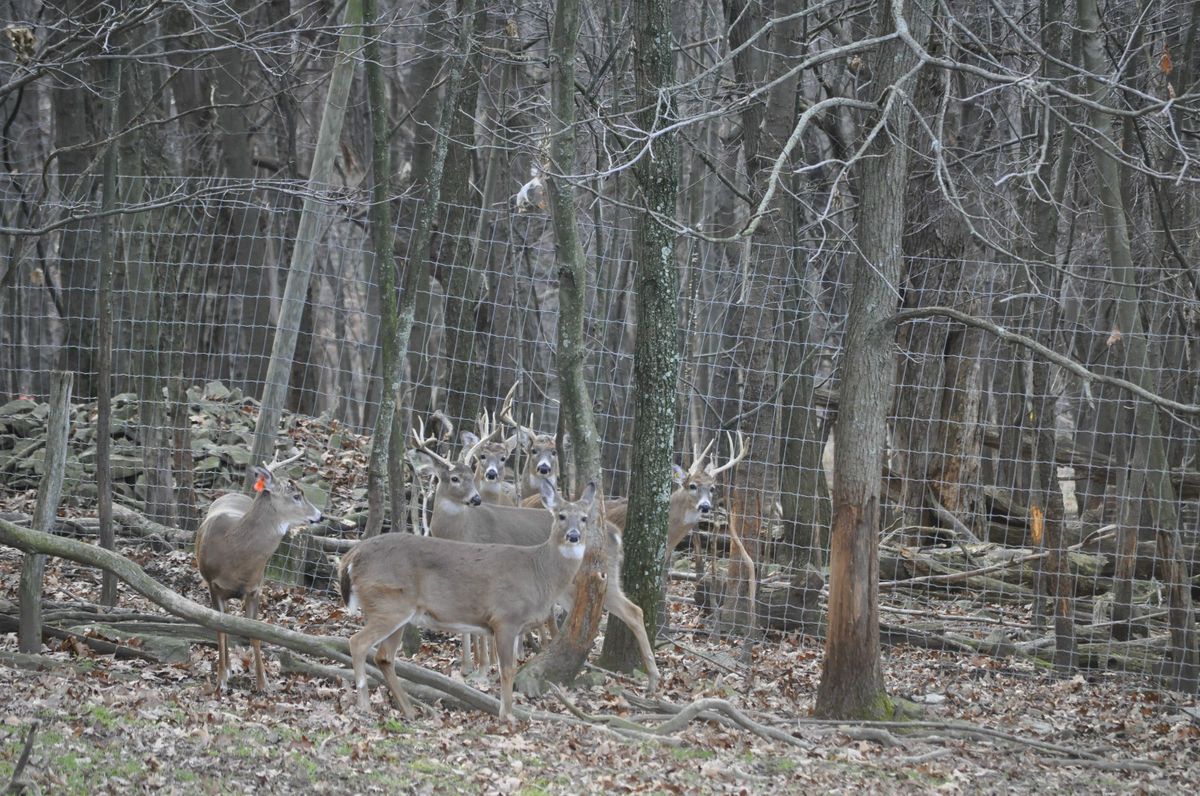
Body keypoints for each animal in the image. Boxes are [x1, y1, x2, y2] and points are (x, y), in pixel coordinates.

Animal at [194, 453, 324, 691]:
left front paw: (263, 683)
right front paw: (221, 680)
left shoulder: (255, 588)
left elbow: (255, 634)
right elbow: (220, 631)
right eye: (296, 496)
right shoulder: (213, 586)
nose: (320, 516)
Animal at [340, 480, 592, 720]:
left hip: (397, 610)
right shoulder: (505, 618)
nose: (573, 536)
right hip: (388, 603)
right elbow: (507, 669)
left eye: (584, 518)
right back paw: (365, 706)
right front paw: (507, 716)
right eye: (561, 515)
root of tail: (352, 557)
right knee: (357, 643)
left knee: (384, 657)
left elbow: (509, 667)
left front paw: (507, 712)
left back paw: (409, 711)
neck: (539, 573)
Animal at [408, 422, 662, 691]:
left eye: (470, 475)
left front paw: (484, 669)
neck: (462, 531)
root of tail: (614, 534)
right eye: (455, 478)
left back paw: (653, 679)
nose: (475, 499)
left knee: (633, 611)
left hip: (602, 575)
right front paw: (469, 667)